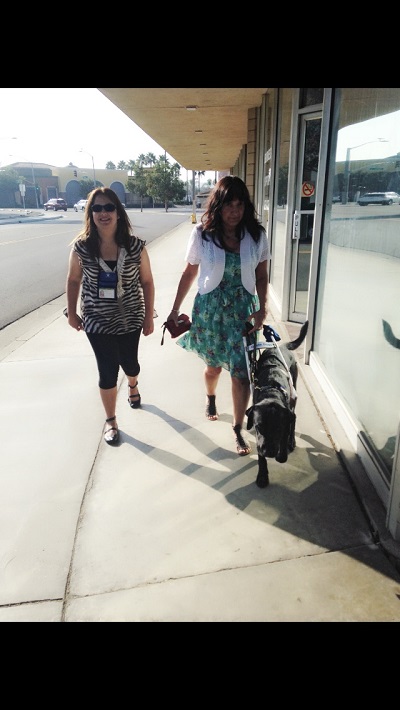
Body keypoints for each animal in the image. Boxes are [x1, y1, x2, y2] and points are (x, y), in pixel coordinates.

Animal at [244, 322, 310, 490]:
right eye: (259, 427)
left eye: (278, 428)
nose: (269, 452)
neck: (272, 390)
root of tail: (282, 346)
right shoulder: (259, 436)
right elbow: (260, 457)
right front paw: (262, 475)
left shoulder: (286, 419)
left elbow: (285, 433)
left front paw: (282, 454)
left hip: (294, 392)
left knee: (294, 418)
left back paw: (291, 441)